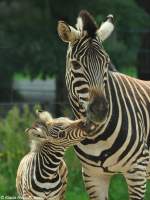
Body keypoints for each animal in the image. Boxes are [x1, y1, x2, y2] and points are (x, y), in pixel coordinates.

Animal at [57, 10, 150, 200]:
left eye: (106, 63)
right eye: (76, 64)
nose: (100, 111)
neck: (96, 136)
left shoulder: (137, 170)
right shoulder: (93, 175)